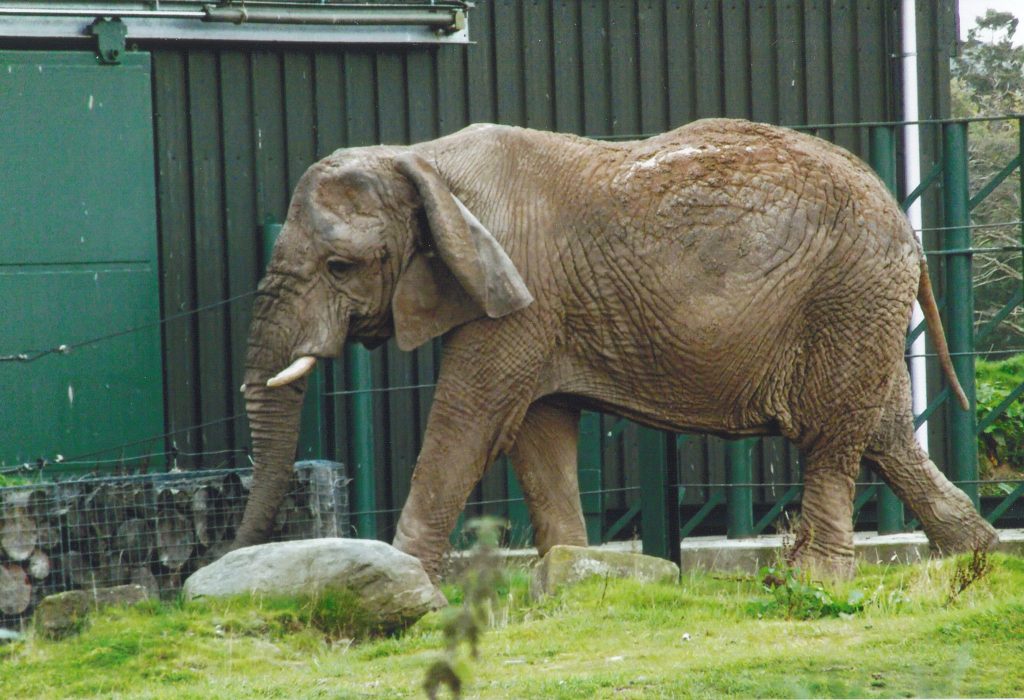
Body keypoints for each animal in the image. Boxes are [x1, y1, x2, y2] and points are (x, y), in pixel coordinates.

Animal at [234, 118, 999, 581]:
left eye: (340, 267)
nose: (229, 559)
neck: (418, 157)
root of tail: (906, 226)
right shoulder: (540, 310)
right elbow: (537, 433)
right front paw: (576, 577)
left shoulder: (518, 294)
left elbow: (468, 421)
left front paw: (407, 580)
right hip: (862, 305)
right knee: (885, 433)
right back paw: (976, 558)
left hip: (846, 295)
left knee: (833, 438)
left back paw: (817, 580)